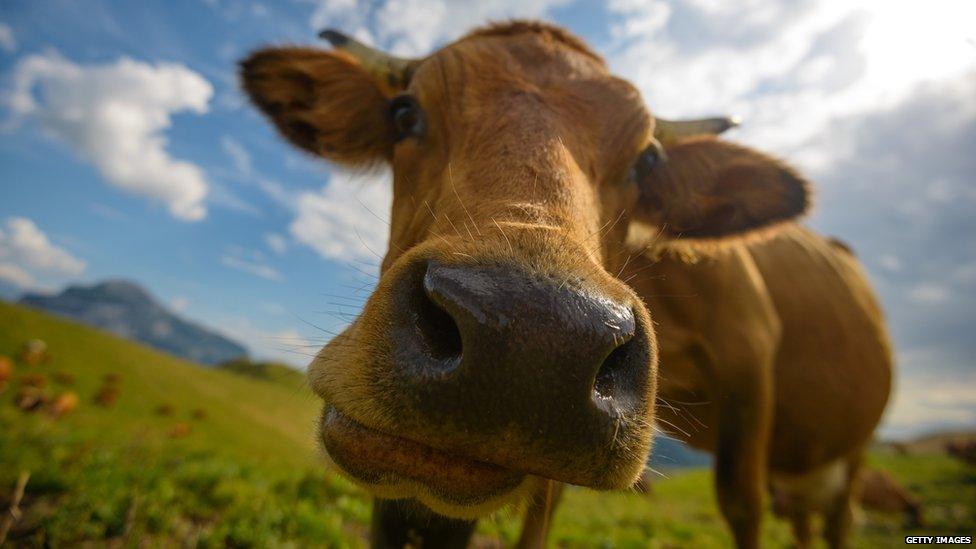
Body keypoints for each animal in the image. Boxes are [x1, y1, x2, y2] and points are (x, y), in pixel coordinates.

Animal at [240, 20, 888, 548]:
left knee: (837, 518)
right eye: (404, 112)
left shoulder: (750, 351)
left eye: (648, 161)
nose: (532, 340)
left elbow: (741, 503)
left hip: (853, 447)